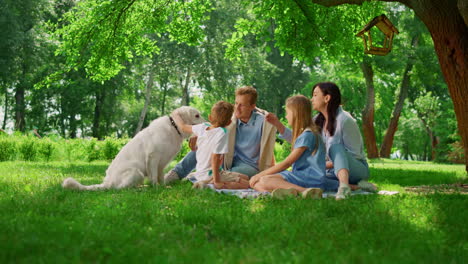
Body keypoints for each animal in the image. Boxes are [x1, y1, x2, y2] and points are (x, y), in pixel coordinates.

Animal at [62, 106, 203, 191]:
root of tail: (107, 182)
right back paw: (141, 188)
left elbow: (160, 176)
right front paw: (156, 188)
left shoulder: (161, 164)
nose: (207, 123)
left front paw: (163, 186)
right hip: (136, 172)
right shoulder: (153, 156)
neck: (174, 127)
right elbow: (153, 176)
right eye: (197, 116)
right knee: (121, 188)